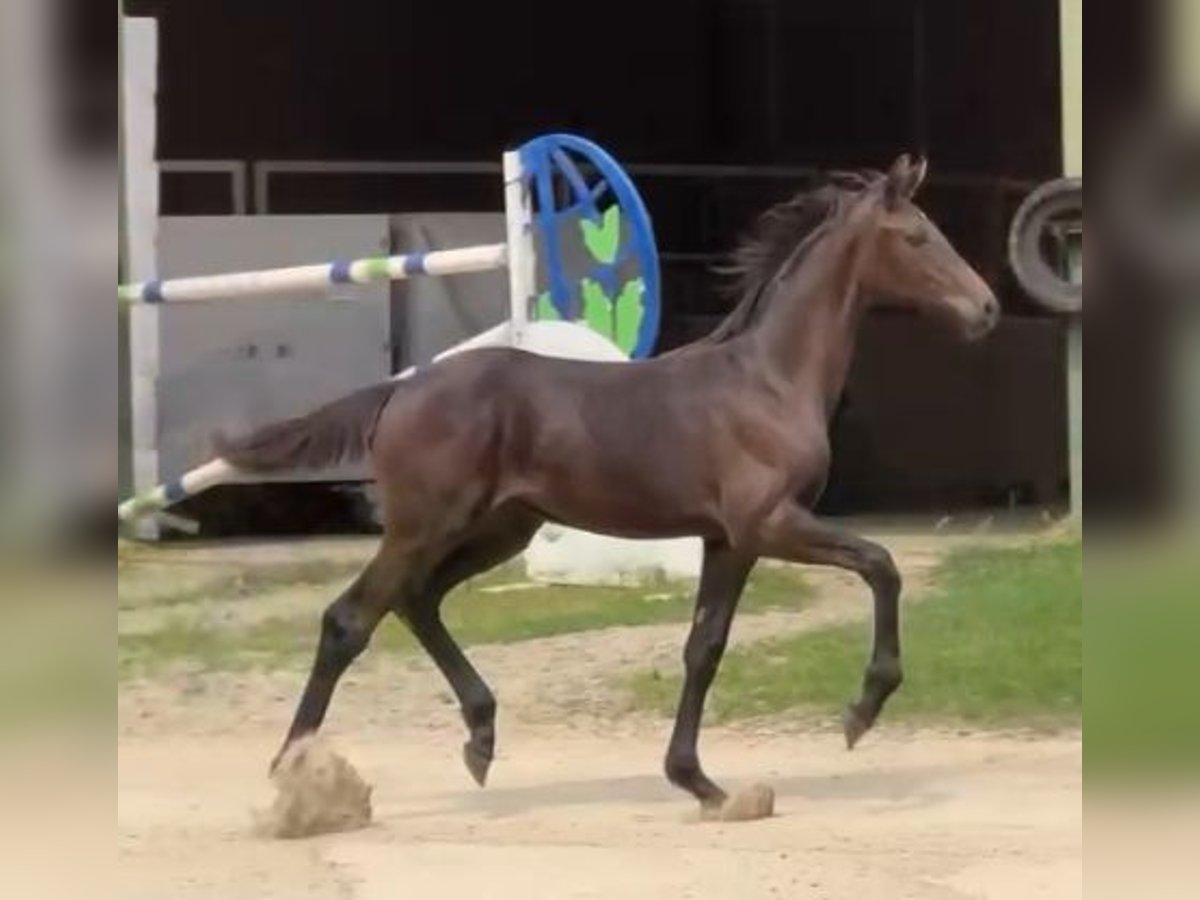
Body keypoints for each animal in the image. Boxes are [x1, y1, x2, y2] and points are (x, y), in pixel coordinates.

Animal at [220, 154, 998, 816]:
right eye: (917, 237)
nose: (986, 308)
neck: (768, 379)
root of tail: (399, 389)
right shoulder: (768, 523)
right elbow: (881, 564)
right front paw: (861, 711)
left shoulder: (726, 540)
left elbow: (704, 647)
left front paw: (700, 783)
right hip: (427, 524)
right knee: (350, 619)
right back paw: (295, 776)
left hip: (502, 527)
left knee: (418, 600)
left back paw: (480, 738)